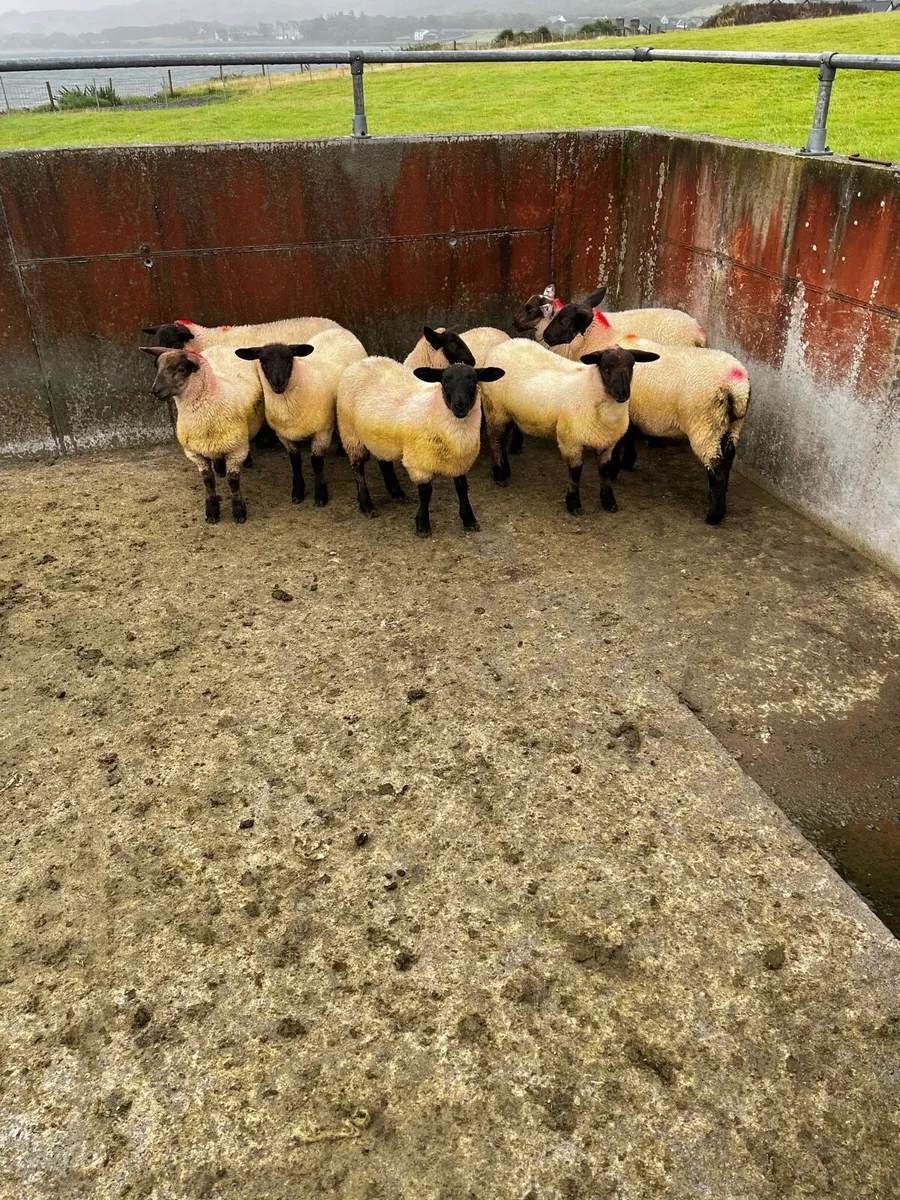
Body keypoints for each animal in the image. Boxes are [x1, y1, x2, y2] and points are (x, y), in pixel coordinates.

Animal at [140, 346, 263, 524]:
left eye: (181, 369)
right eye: (158, 367)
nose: (155, 391)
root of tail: (222, 346)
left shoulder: (236, 450)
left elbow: (233, 482)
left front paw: (239, 511)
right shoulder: (195, 453)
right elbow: (208, 481)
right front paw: (212, 511)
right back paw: (219, 467)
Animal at [235, 327, 367, 508]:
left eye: (290, 361)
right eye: (263, 363)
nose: (278, 383)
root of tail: (339, 329)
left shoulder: (322, 432)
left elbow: (316, 463)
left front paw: (320, 495)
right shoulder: (284, 436)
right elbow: (295, 463)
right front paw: (297, 492)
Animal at [337, 357, 504, 537]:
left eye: (474, 382)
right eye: (445, 382)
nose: (460, 406)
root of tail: (363, 360)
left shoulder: (459, 462)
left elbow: (462, 489)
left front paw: (469, 520)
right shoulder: (419, 464)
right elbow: (425, 493)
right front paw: (422, 525)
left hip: (380, 437)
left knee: (384, 461)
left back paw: (396, 492)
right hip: (351, 435)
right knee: (358, 468)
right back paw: (366, 504)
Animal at [480, 337, 659, 515]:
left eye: (631, 366)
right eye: (607, 367)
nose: (622, 393)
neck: (590, 389)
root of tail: (500, 346)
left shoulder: (606, 443)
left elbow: (605, 472)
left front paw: (608, 501)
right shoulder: (570, 440)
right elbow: (575, 472)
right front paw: (573, 503)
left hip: (507, 413)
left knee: (503, 439)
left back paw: (506, 469)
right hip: (494, 410)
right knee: (495, 440)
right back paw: (500, 475)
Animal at [601, 334, 751, 525]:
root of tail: (737, 389)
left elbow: (620, 442)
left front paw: (615, 470)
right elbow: (628, 438)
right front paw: (628, 462)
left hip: (706, 425)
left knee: (717, 468)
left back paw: (714, 515)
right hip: (731, 426)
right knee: (728, 458)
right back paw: (716, 494)